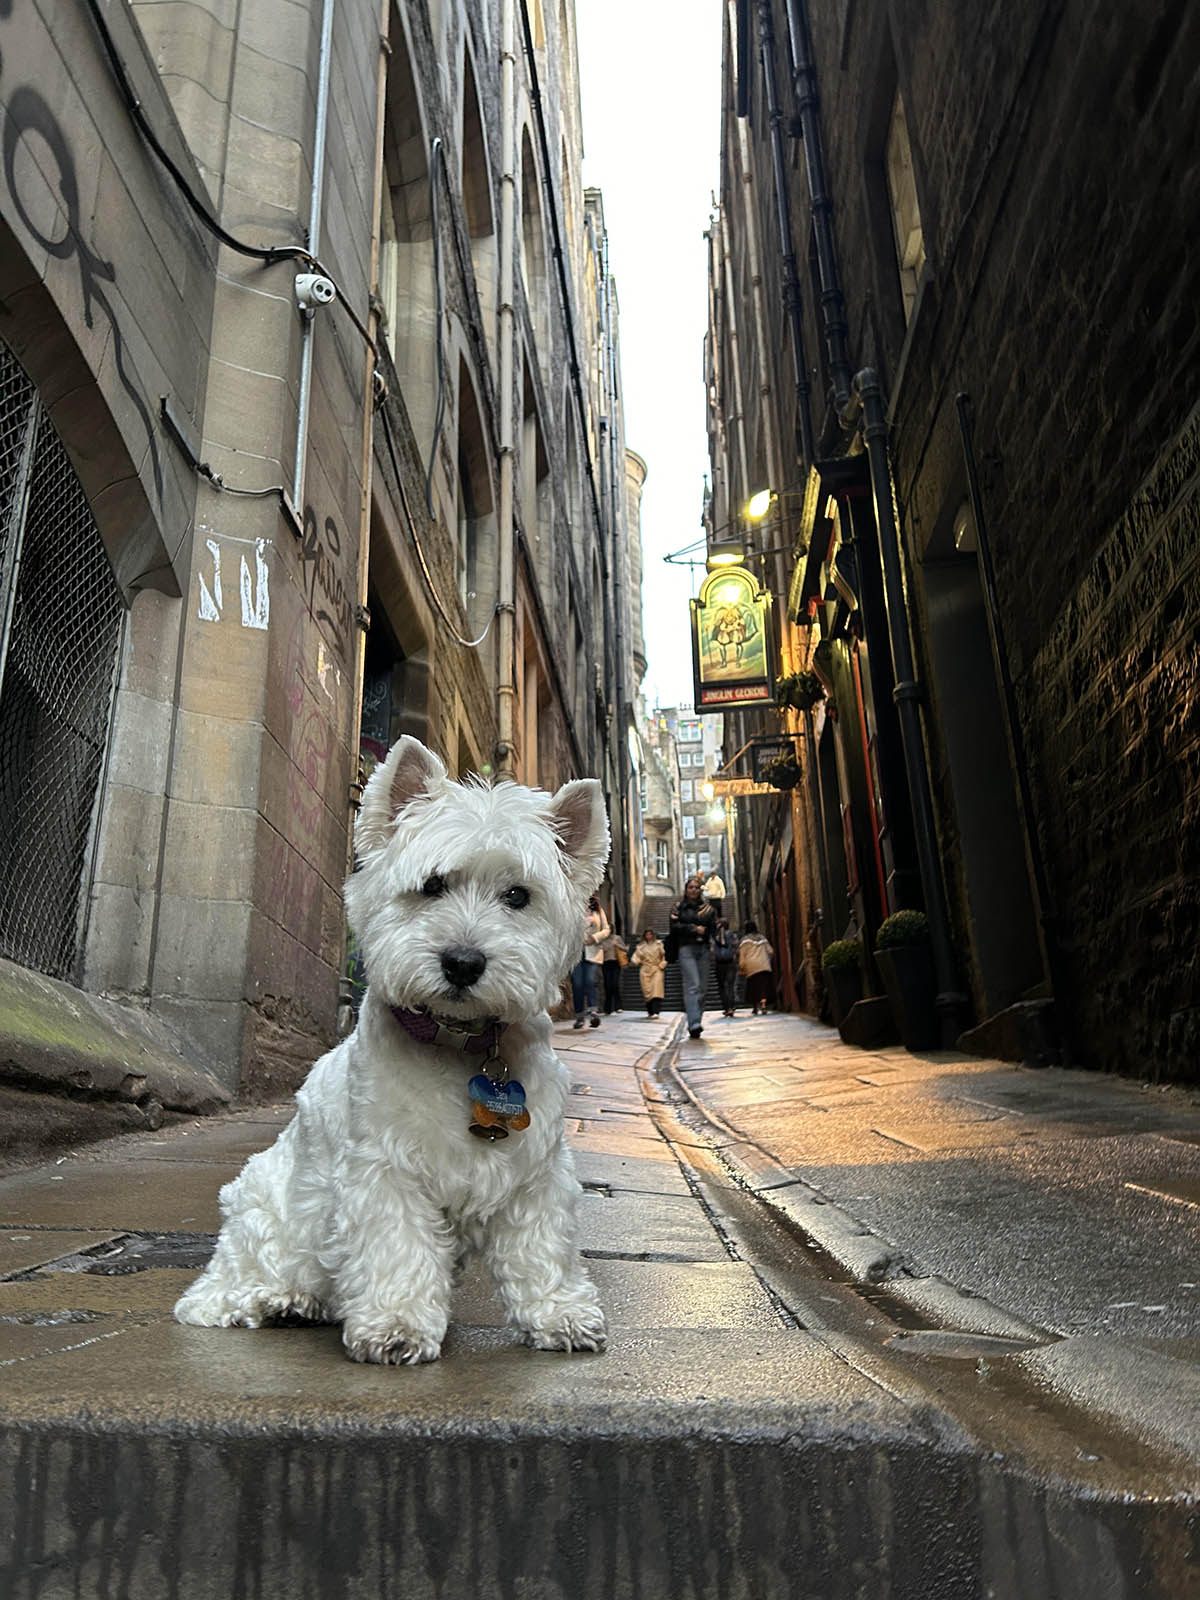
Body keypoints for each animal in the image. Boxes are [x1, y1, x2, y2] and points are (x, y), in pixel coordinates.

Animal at [176, 736, 611, 1363]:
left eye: (517, 896)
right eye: (432, 885)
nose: (462, 962)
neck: (460, 1045)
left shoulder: (536, 1174)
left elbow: (541, 1247)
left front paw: (561, 1315)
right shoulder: (385, 1171)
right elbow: (397, 1248)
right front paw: (396, 1326)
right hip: (262, 1209)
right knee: (235, 1276)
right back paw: (270, 1300)